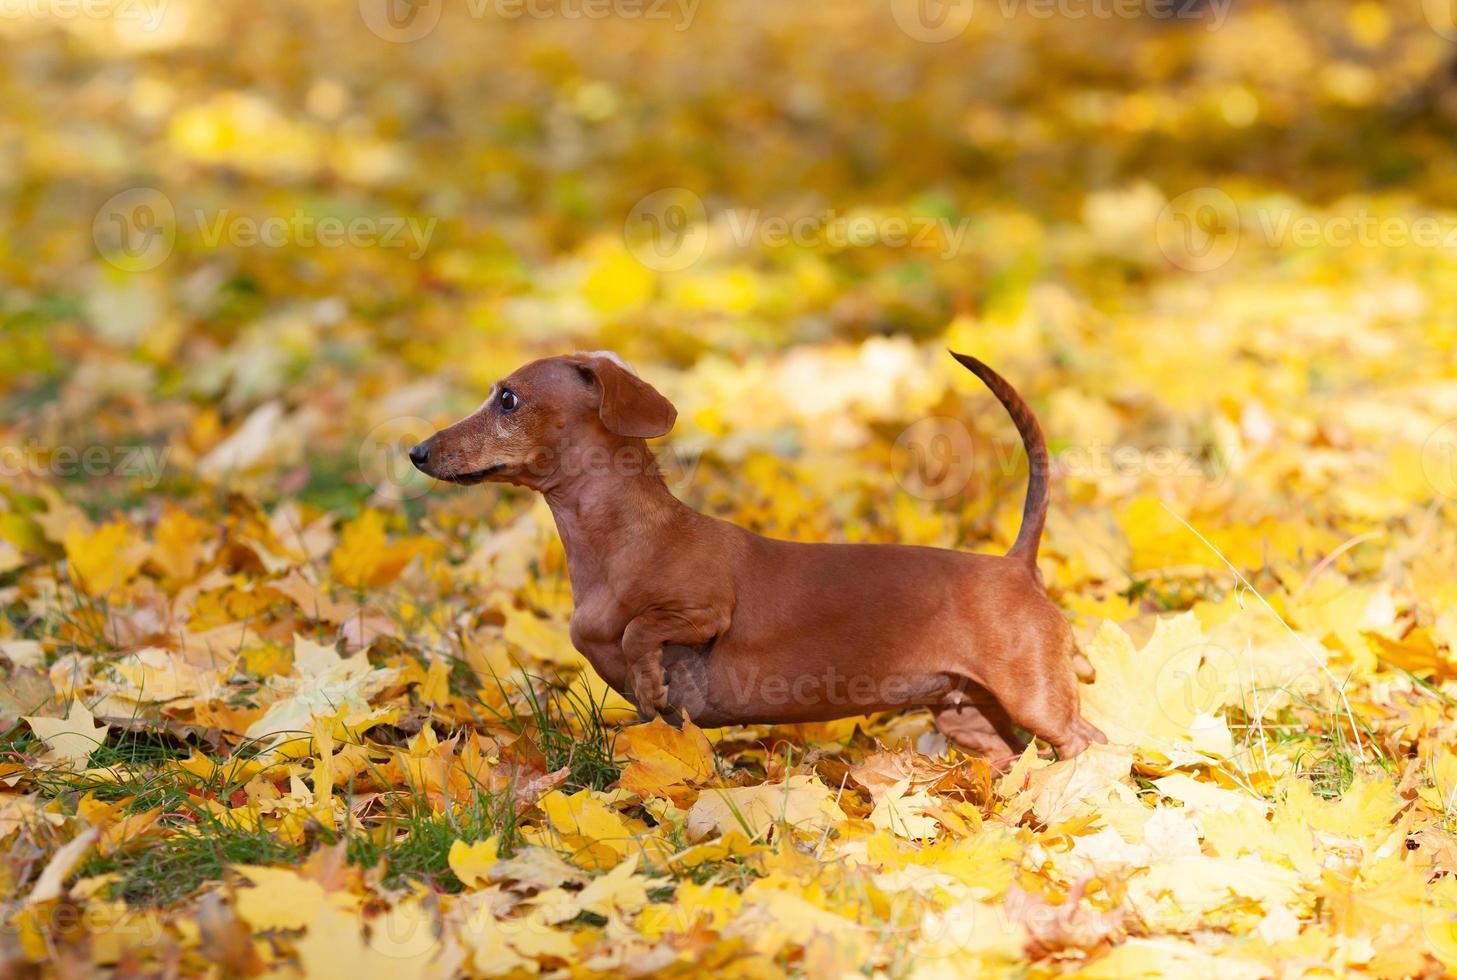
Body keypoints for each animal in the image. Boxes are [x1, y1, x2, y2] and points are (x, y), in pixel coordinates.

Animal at [410, 348, 1101, 763]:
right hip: (968, 715)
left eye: (508, 399)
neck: (620, 541)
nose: (417, 452)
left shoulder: (705, 612)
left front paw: (652, 678)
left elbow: (640, 633)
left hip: (1035, 699)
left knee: (1092, 741)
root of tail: (1016, 564)